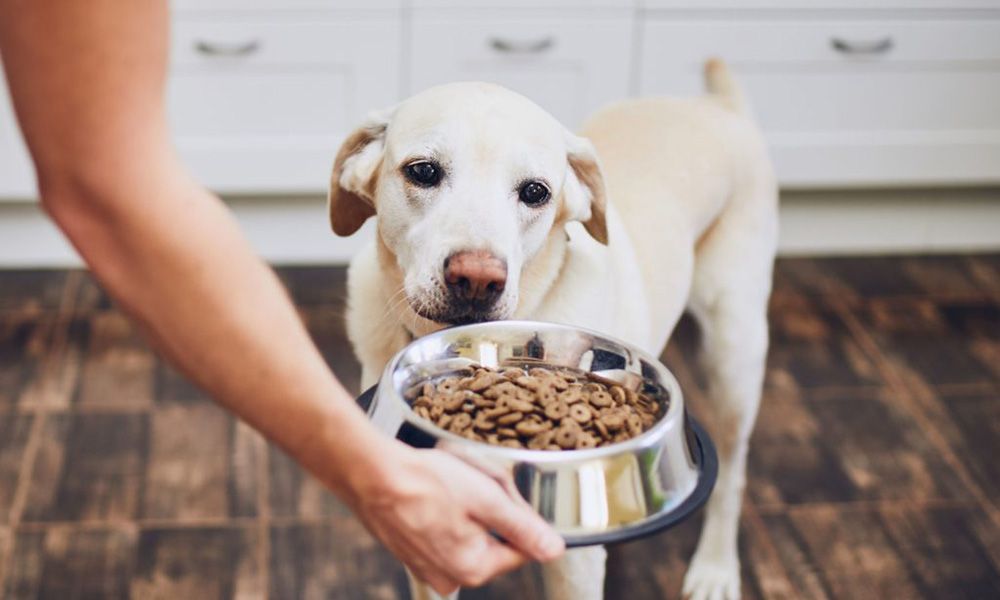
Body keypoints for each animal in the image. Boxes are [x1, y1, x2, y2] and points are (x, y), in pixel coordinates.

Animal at [332, 59, 776, 600]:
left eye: (535, 192)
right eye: (423, 171)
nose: (477, 279)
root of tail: (718, 105)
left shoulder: (573, 564)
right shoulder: (429, 537)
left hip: (735, 353)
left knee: (732, 473)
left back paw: (715, 567)